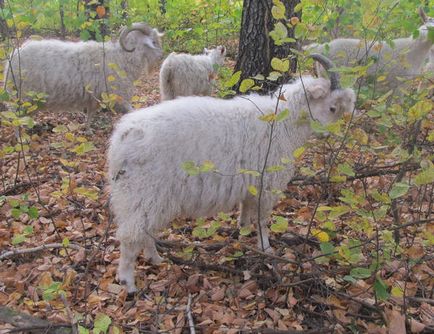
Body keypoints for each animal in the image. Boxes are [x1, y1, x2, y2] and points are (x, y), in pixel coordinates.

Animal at [4, 22, 164, 125]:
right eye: (154, 42)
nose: (162, 56)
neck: (121, 58)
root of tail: (13, 56)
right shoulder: (118, 97)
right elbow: (131, 113)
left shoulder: (95, 97)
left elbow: (90, 115)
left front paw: (87, 130)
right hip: (24, 96)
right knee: (16, 119)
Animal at [107, 54, 356, 292]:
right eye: (332, 107)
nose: (327, 135)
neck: (282, 122)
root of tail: (123, 136)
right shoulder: (267, 184)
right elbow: (262, 219)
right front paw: (265, 248)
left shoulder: (251, 185)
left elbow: (246, 215)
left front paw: (243, 235)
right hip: (144, 191)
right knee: (131, 235)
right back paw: (128, 282)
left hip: (147, 197)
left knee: (145, 230)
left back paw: (155, 259)